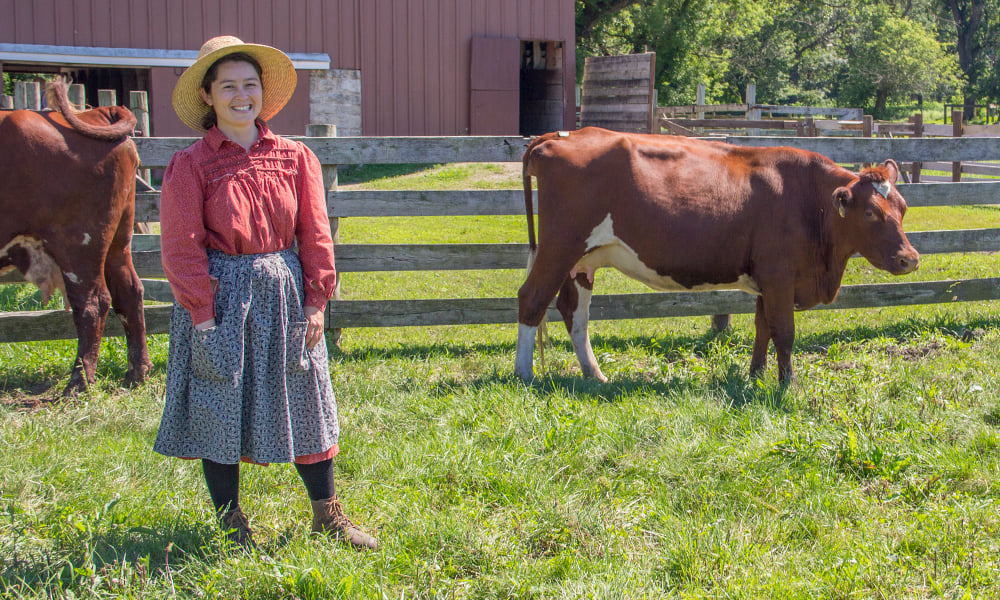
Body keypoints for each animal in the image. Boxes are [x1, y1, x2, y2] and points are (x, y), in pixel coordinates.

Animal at [0, 82, 150, 396]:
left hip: (79, 244)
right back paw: (136, 373)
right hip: (118, 240)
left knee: (92, 303)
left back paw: (79, 382)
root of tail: (97, 113)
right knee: (129, 292)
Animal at [520, 126, 916, 384]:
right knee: (532, 299)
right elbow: (784, 331)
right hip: (559, 246)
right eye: (870, 213)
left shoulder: (766, 280)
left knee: (574, 312)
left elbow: (762, 328)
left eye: (902, 206)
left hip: (583, 260)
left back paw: (594, 374)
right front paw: (787, 383)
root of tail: (560, 135)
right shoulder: (780, 277)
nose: (909, 258)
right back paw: (524, 374)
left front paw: (756, 376)